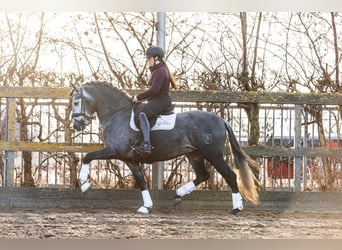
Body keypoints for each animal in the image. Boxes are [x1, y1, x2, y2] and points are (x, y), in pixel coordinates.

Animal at [70, 80, 260, 215]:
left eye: (76, 102)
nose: (76, 125)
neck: (118, 114)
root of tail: (220, 120)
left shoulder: (115, 151)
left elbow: (88, 156)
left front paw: (85, 185)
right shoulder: (129, 158)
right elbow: (141, 180)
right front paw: (146, 206)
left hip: (213, 155)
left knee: (230, 176)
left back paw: (236, 208)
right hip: (194, 154)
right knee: (203, 175)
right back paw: (179, 194)